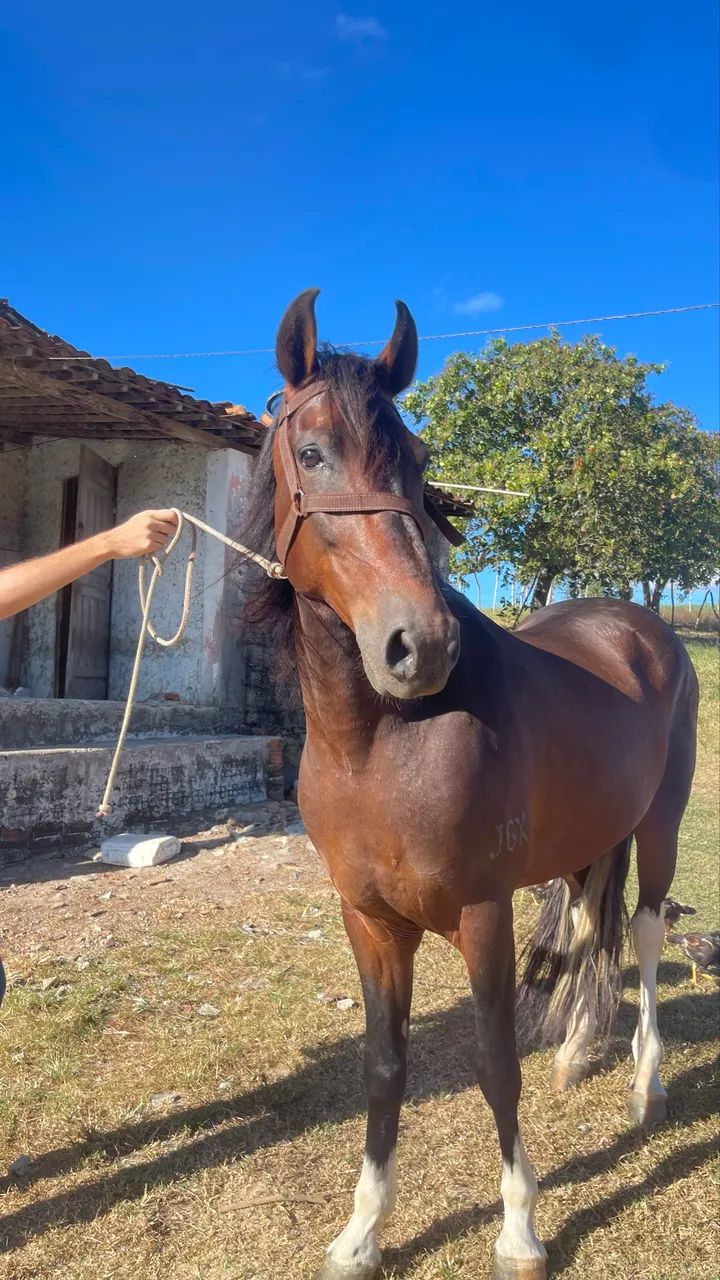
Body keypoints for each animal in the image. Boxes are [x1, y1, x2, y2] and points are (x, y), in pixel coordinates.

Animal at [242, 289, 699, 1280]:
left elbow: (493, 1062)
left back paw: (645, 1085)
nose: (421, 645)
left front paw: (520, 1228)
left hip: (659, 826)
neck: (379, 744)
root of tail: (644, 626)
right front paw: (362, 1232)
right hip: (587, 838)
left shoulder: (482, 913)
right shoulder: (370, 922)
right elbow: (384, 1066)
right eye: (312, 452)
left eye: (416, 461)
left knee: (644, 931)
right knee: (590, 921)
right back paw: (579, 1050)